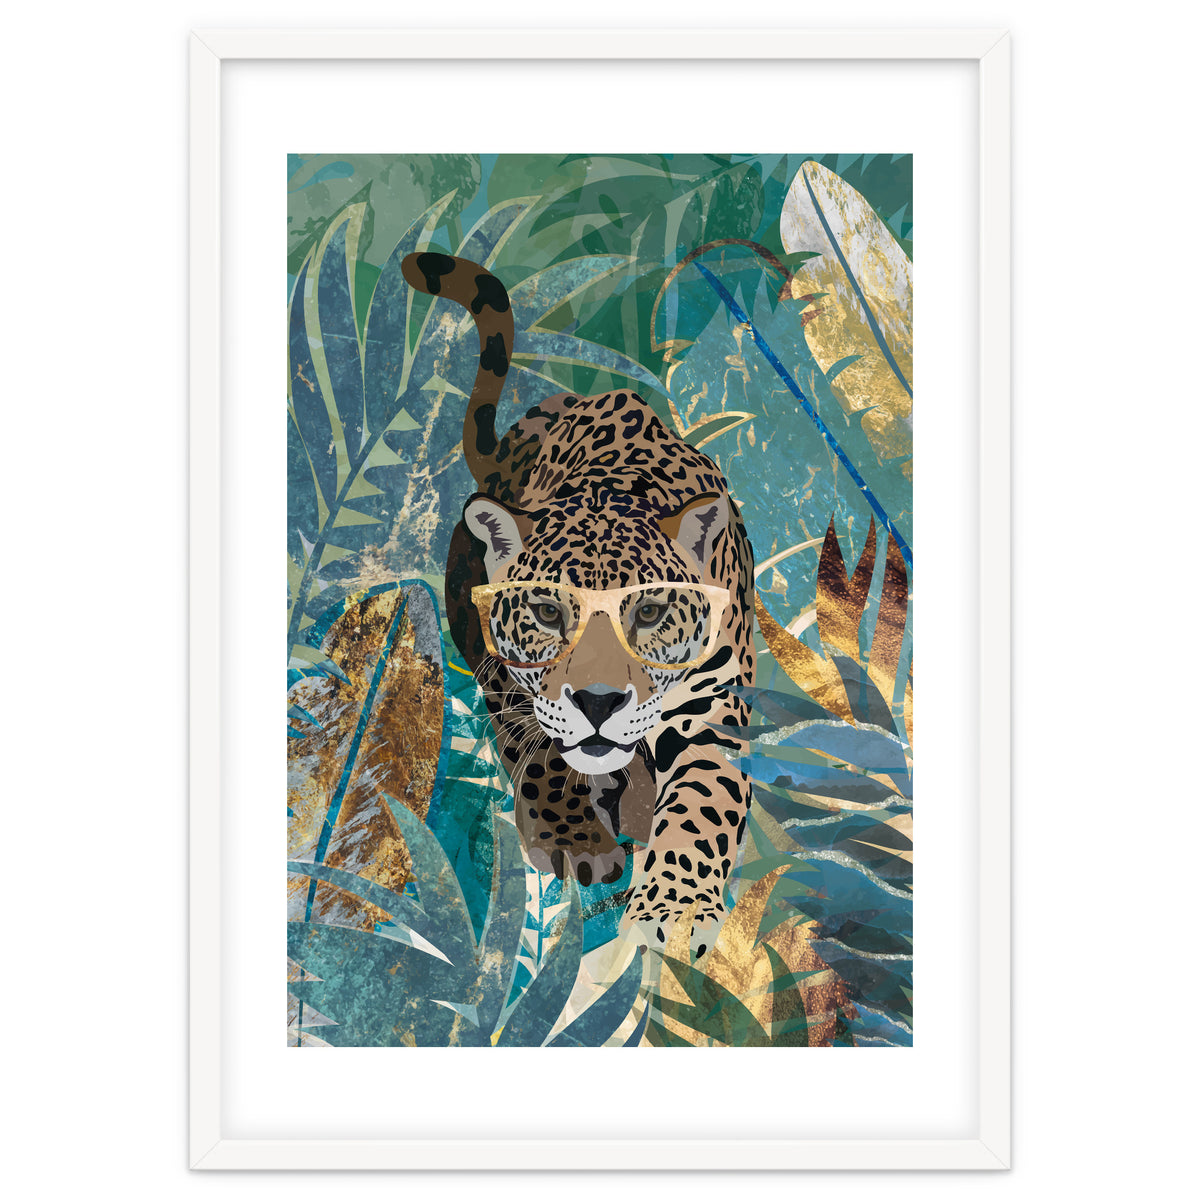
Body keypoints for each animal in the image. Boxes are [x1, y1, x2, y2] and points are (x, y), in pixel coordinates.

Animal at [400, 251, 756, 958]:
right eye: (546, 613)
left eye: (648, 613)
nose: (597, 702)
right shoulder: (507, 674)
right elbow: (539, 750)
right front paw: (573, 839)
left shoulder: (713, 708)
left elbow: (702, 802)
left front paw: (673, 910)